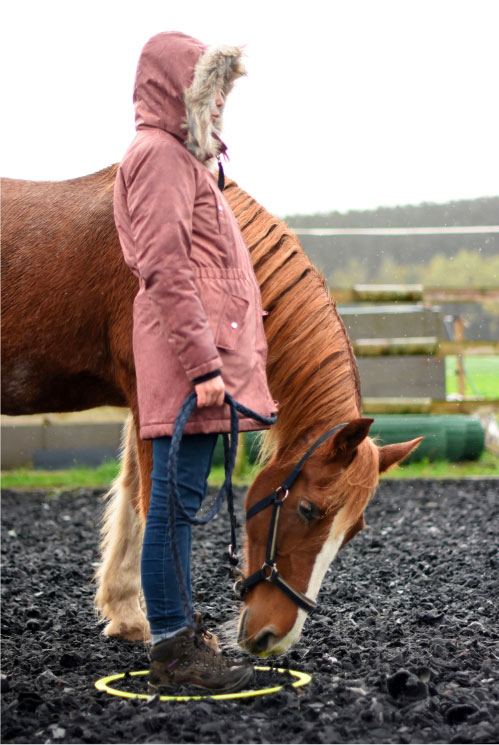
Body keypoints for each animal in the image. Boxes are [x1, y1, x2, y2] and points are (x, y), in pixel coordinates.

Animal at [0, 166, 422, 652]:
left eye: (354, 531)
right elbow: (157, 507)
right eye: (307, 510)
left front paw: (126, 614)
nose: (275, 638)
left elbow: (132, 496)